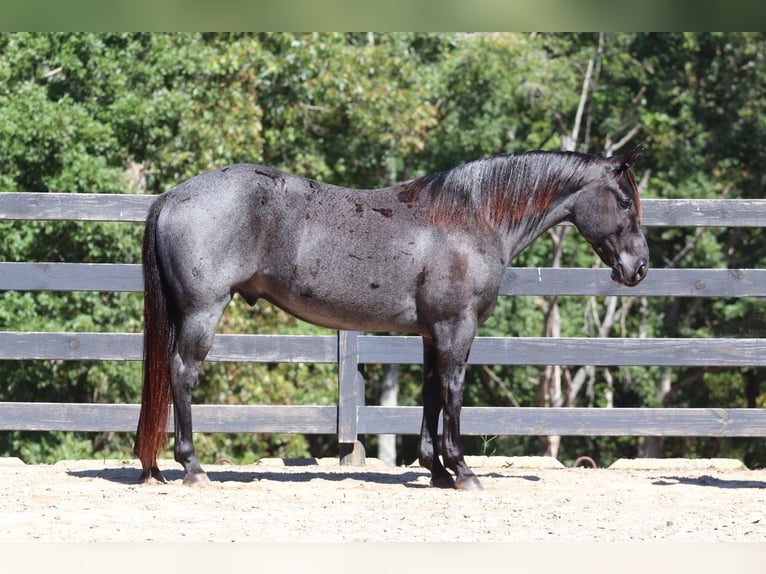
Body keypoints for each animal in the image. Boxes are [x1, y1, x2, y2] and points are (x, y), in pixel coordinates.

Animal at [135, 145, 652, 490]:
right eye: (625, 201)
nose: (639, 268)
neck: (471, 218)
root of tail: (172, 197)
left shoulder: (432, 333)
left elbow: (431, 393)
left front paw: (436, 469)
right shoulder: (457, 328)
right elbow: (454, 392)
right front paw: (462, 470)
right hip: (203, 311)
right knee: (182, 374)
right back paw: (193, 468)